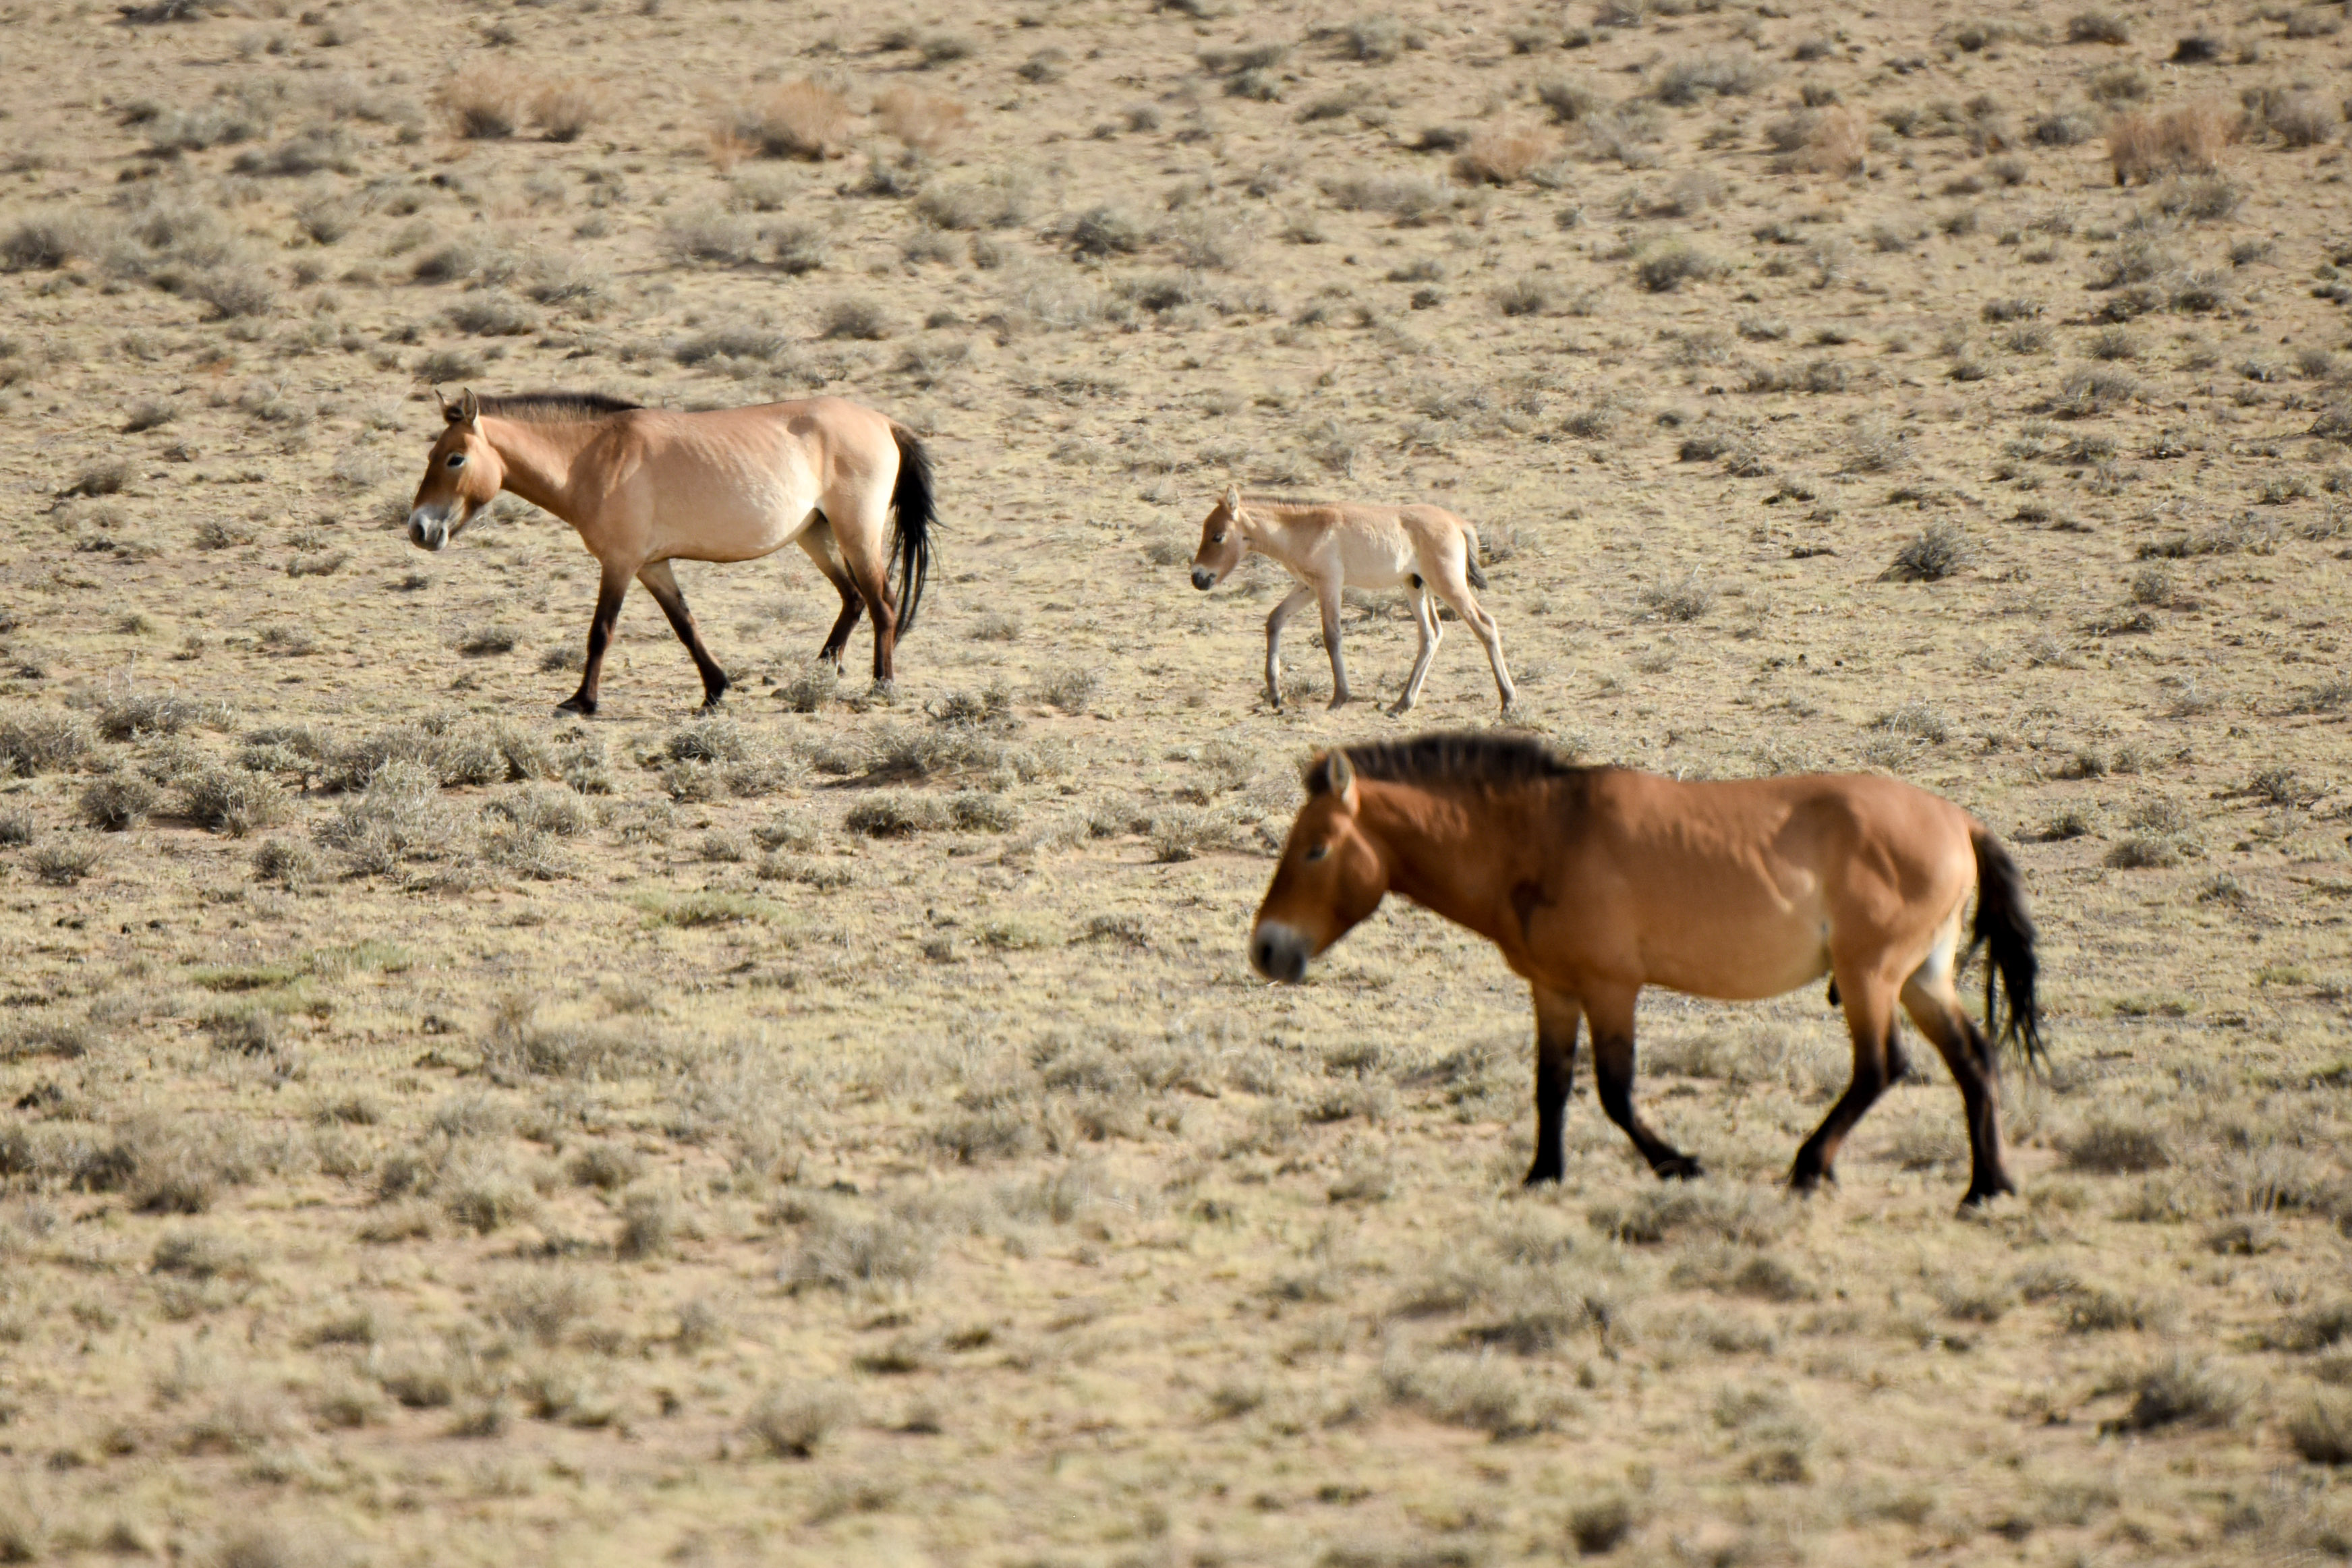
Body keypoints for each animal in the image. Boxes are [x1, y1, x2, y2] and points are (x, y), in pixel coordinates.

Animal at [405, 389, 935, 714]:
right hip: (816, 535)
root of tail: (884, 422)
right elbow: (685, 625)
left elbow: (601, 632)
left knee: (882, 602)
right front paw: (716, 690)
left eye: (455, 459)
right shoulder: (652, 567)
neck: (593, 458)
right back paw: (821, 671)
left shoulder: (619, 564)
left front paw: (582, 701)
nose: (419, 529)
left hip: (856, 533)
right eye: (430, 455)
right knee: (853, 598)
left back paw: (882, 683)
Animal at [1186, 485, 1515, 716]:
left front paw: (1340, 698)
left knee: (1485, 625)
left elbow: (1332, 636)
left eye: (1217, 536)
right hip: (1416, 588)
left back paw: (1508, 701)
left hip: (1449, 585)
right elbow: (1275, 621)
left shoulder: (1330, 586)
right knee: (1431, 635)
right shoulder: (1307, 587)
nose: (1198, 578)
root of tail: (1458, 523)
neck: (1305, 527)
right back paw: (1402, 704)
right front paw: (1275, 695)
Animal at [1248, 734, 2045, 1211]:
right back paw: (1987, 1185)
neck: (1544, 839)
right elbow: (1550, 1087)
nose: (1265, 949)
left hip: (1868, 976)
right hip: (1919, 979)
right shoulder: (1553, 989)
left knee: (1880, 1067)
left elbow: (1614, 1092)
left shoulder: (1611, 989)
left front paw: (1677, 1163)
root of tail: (1958, 820)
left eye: (1316, 849)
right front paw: (1542, 1174)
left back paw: (1810, 1165)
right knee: (1973, 1060)